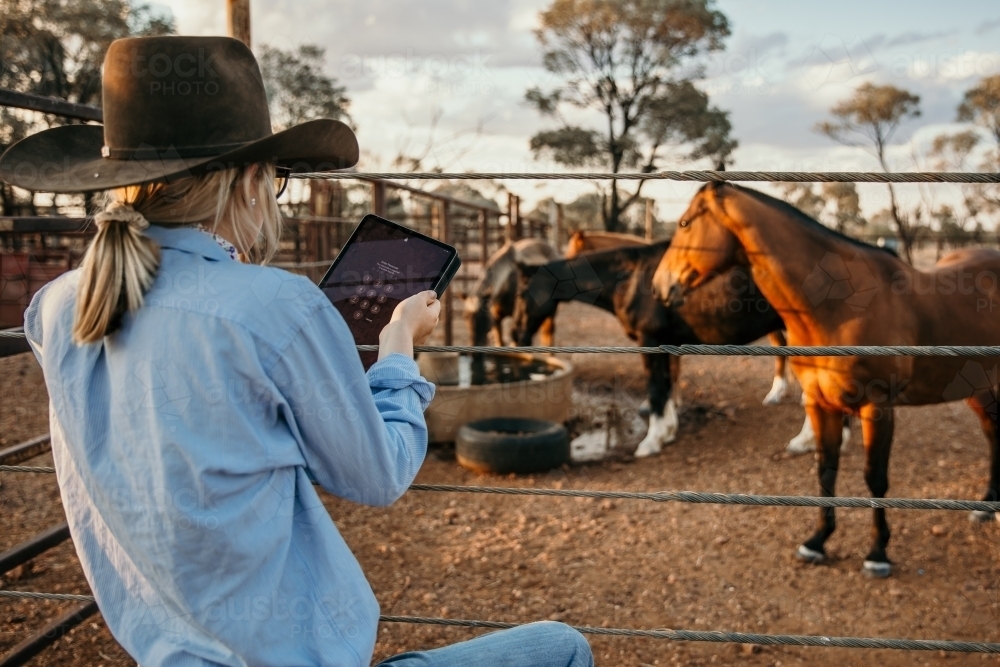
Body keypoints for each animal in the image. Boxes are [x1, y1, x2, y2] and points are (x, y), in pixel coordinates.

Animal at [511, 241, 788, 457]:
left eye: (522, 294)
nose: (515, 335)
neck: (630, 279)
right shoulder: (666, 344)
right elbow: (665, 385)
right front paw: (667, 432)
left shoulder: (650, 341)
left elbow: (656, 389)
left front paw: (651, 442)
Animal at [652, 181, 1000, 577]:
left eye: (684, 223)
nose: (658, 286)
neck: (840, 306)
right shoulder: (821, 404)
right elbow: (826, 470)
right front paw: (817, 542)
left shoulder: (877, 407)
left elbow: (875, 476)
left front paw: (878, 553)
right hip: (979, 389)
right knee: (993, 434)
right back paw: (986, 506)